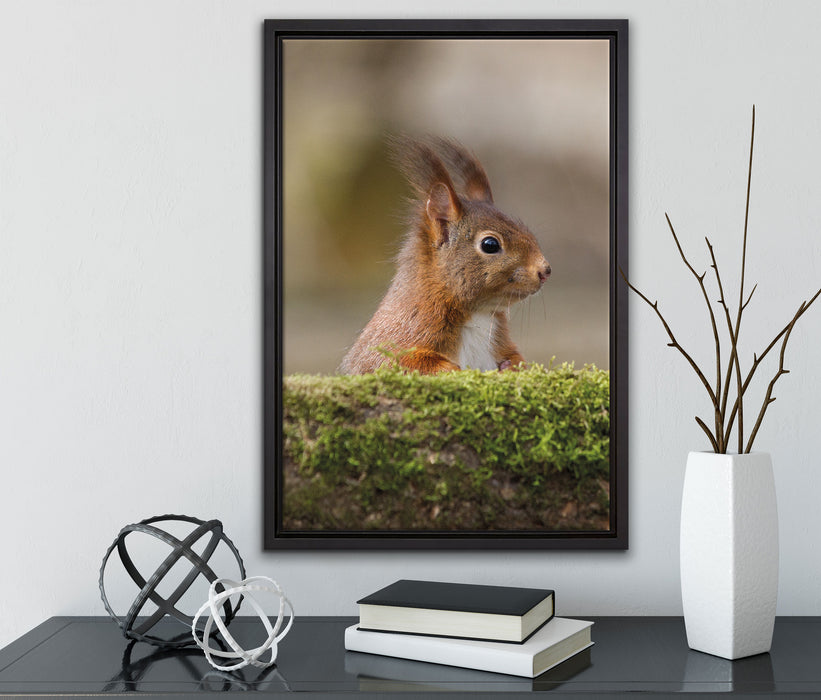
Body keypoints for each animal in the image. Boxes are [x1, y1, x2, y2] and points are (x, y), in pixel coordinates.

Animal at [339, 136, 551, 375]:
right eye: (490, 244)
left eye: (524, 228)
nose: (545, 271)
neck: (478, 314)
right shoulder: (399, 337)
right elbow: (400, 362)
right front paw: (453, 369)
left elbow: (515, 358)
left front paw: (512, 366)